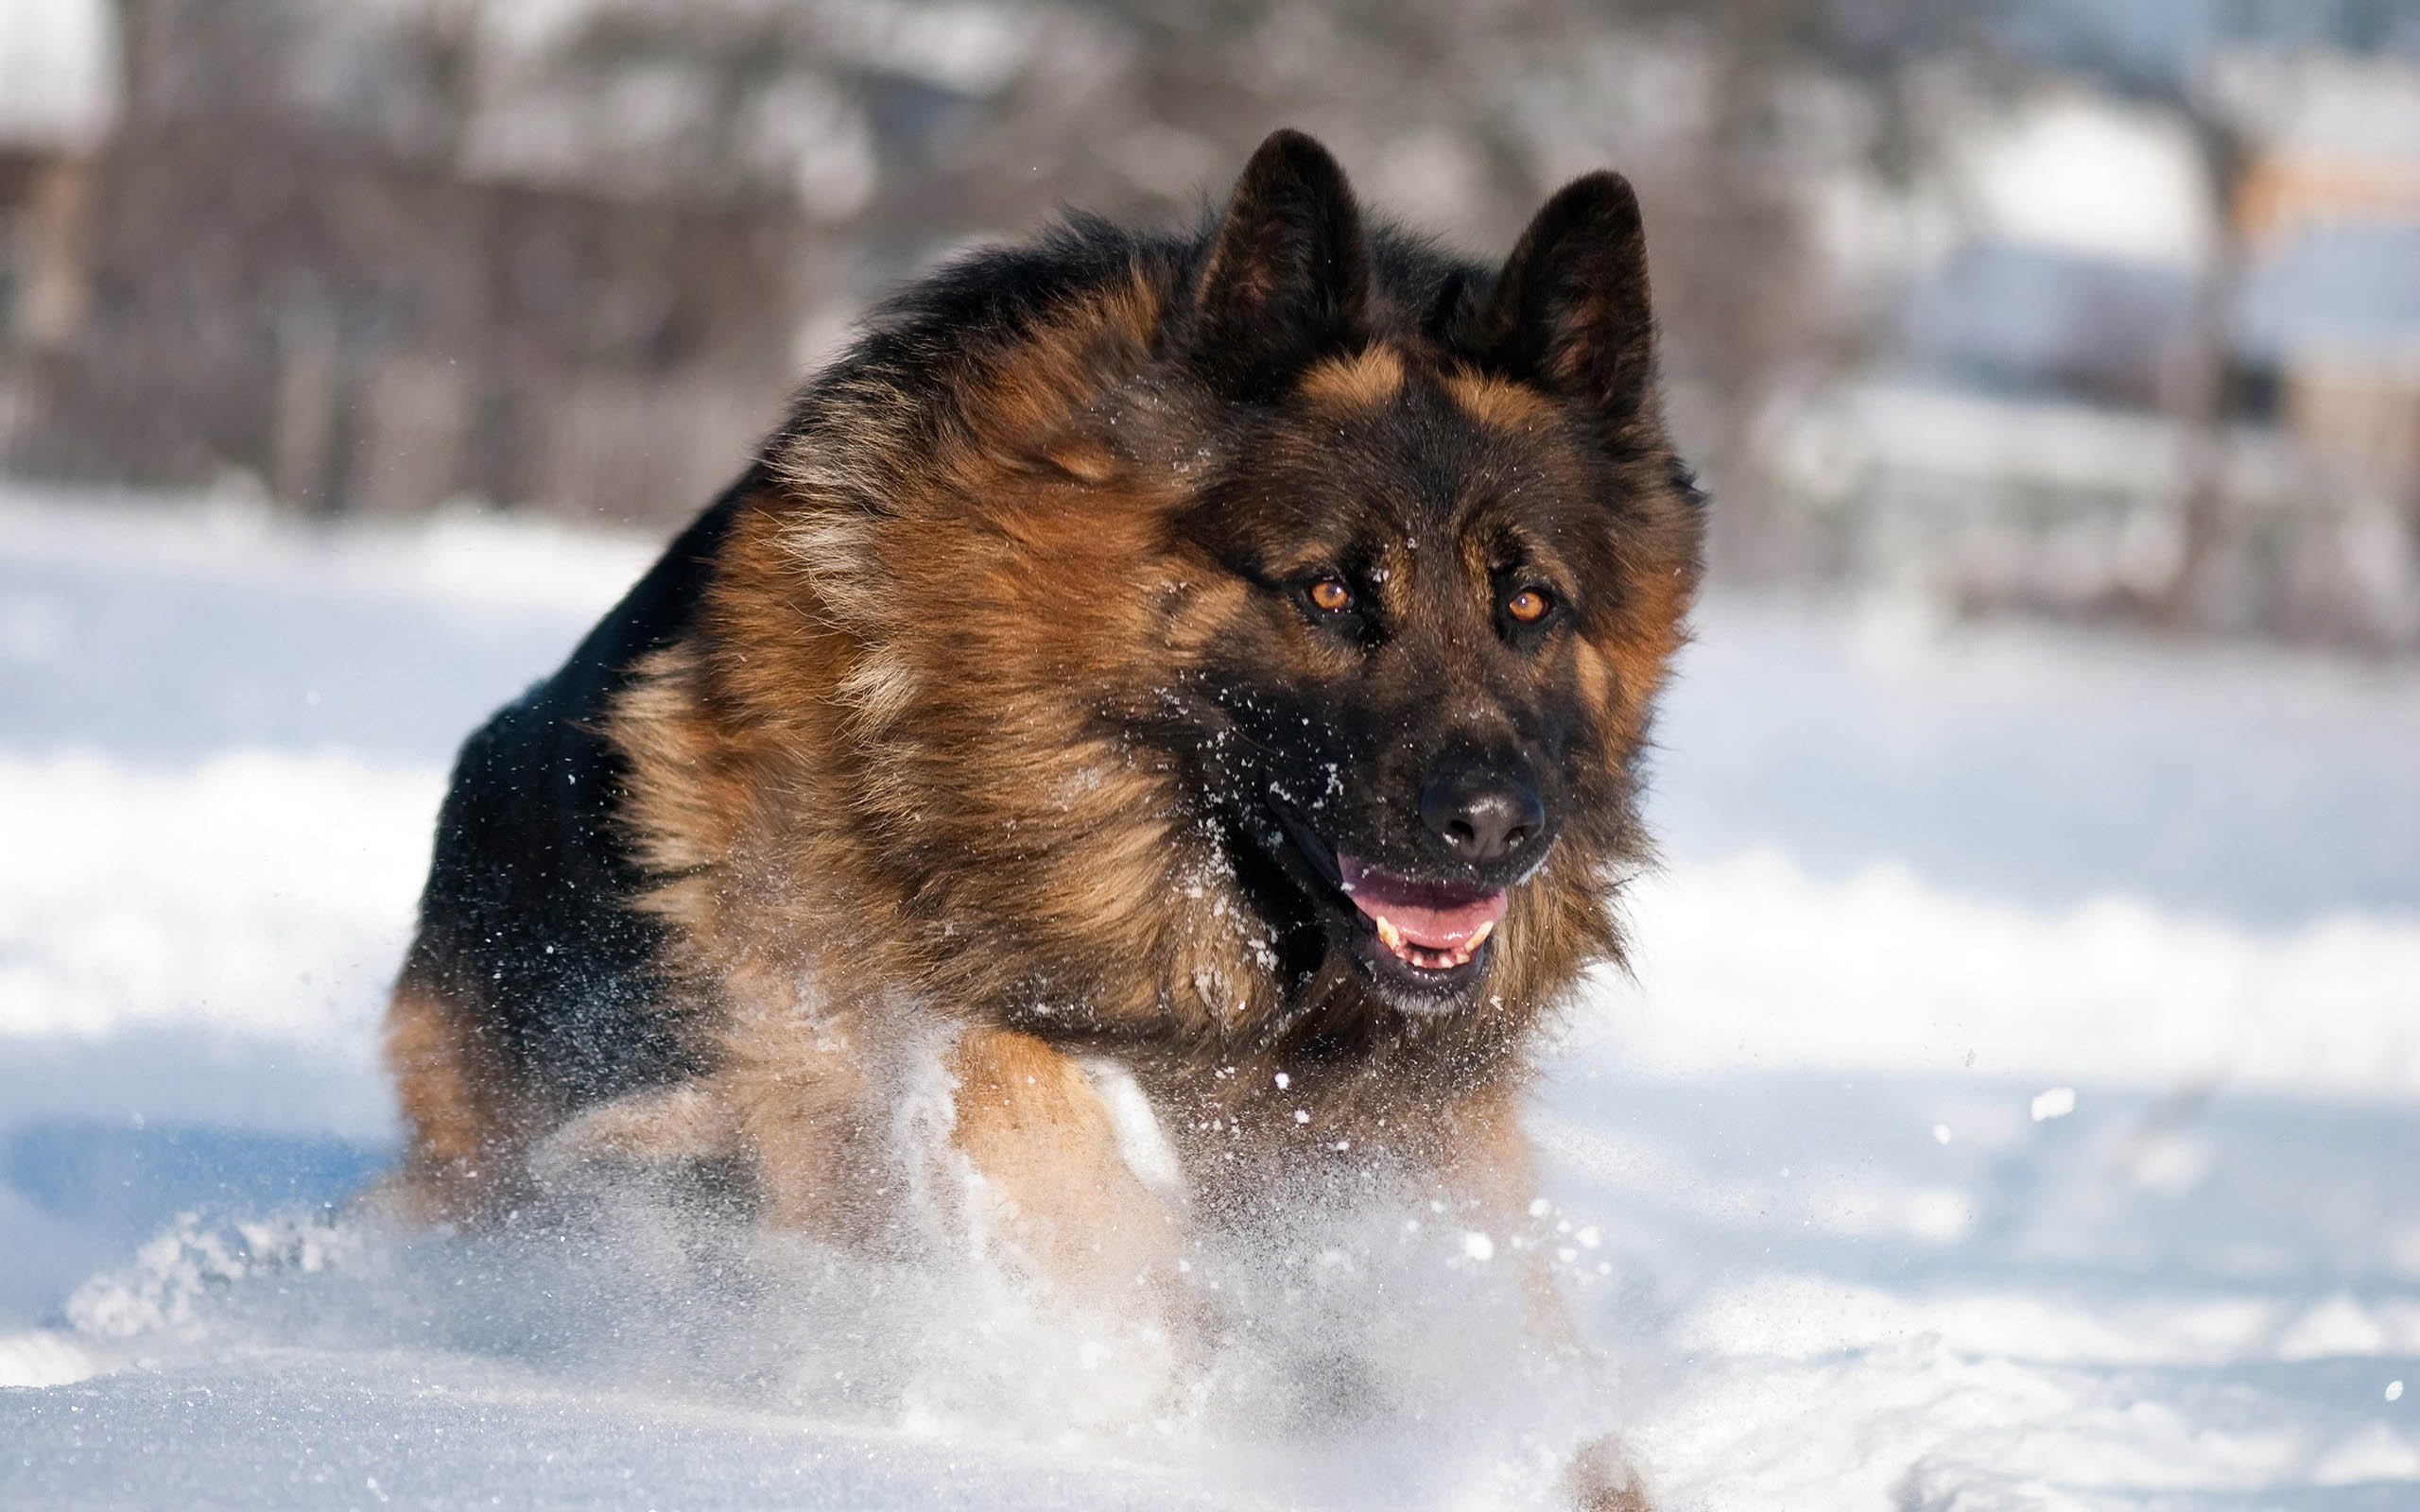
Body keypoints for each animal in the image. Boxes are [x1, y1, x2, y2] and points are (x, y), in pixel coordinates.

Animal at [382, 127, 1703, 1500]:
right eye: (1332, 592)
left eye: (1530, 604)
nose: (1496, 825)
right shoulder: (845, 1032)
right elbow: (1027, 1101)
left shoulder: (1416, 1146)